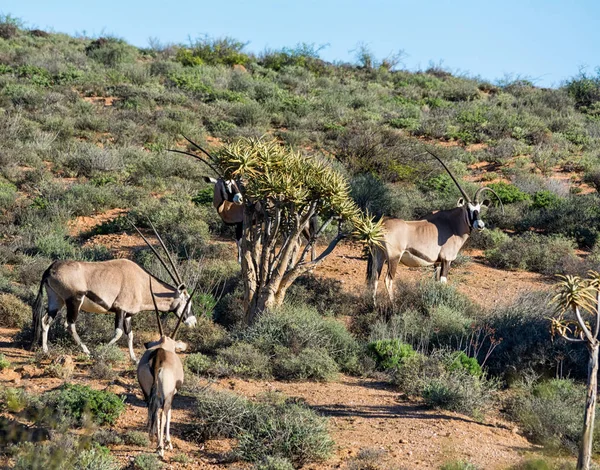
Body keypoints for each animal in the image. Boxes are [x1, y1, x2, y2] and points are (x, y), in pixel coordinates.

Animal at [31, 222, 197, 362]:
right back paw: (86, 351)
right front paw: (100, 353)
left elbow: (130, 334)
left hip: (56, 300)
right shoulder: (120, 310)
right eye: (187, 300)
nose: (193, 322)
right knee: (69, 324)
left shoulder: (128, 314)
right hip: (74, 301)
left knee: (45, 321)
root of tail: (50, 269)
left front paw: (134, 359)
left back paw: (45, 350)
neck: (142, 283)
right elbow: (118, 333)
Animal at [137, 280, 191, 456]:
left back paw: (153, 438)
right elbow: (169, 414)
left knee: (152, 409)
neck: (164, 346)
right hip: (165, 394)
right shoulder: (171, 394)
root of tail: (159, 356)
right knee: (162, 411)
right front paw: (168, 442)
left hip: (148, 391)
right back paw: (160, 447)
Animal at [368, 151, 504, 304]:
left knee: (374, 279)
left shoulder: (437, 262)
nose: (480, 225)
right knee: (388, 279)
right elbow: (443, 283)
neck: (452, 224)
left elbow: (435, 282)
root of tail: (381, 225)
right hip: (393, 257)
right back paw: (393, 305)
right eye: (468, 209)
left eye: (479, 209)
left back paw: (373, 305)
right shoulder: (446, 260)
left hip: (379, 255)